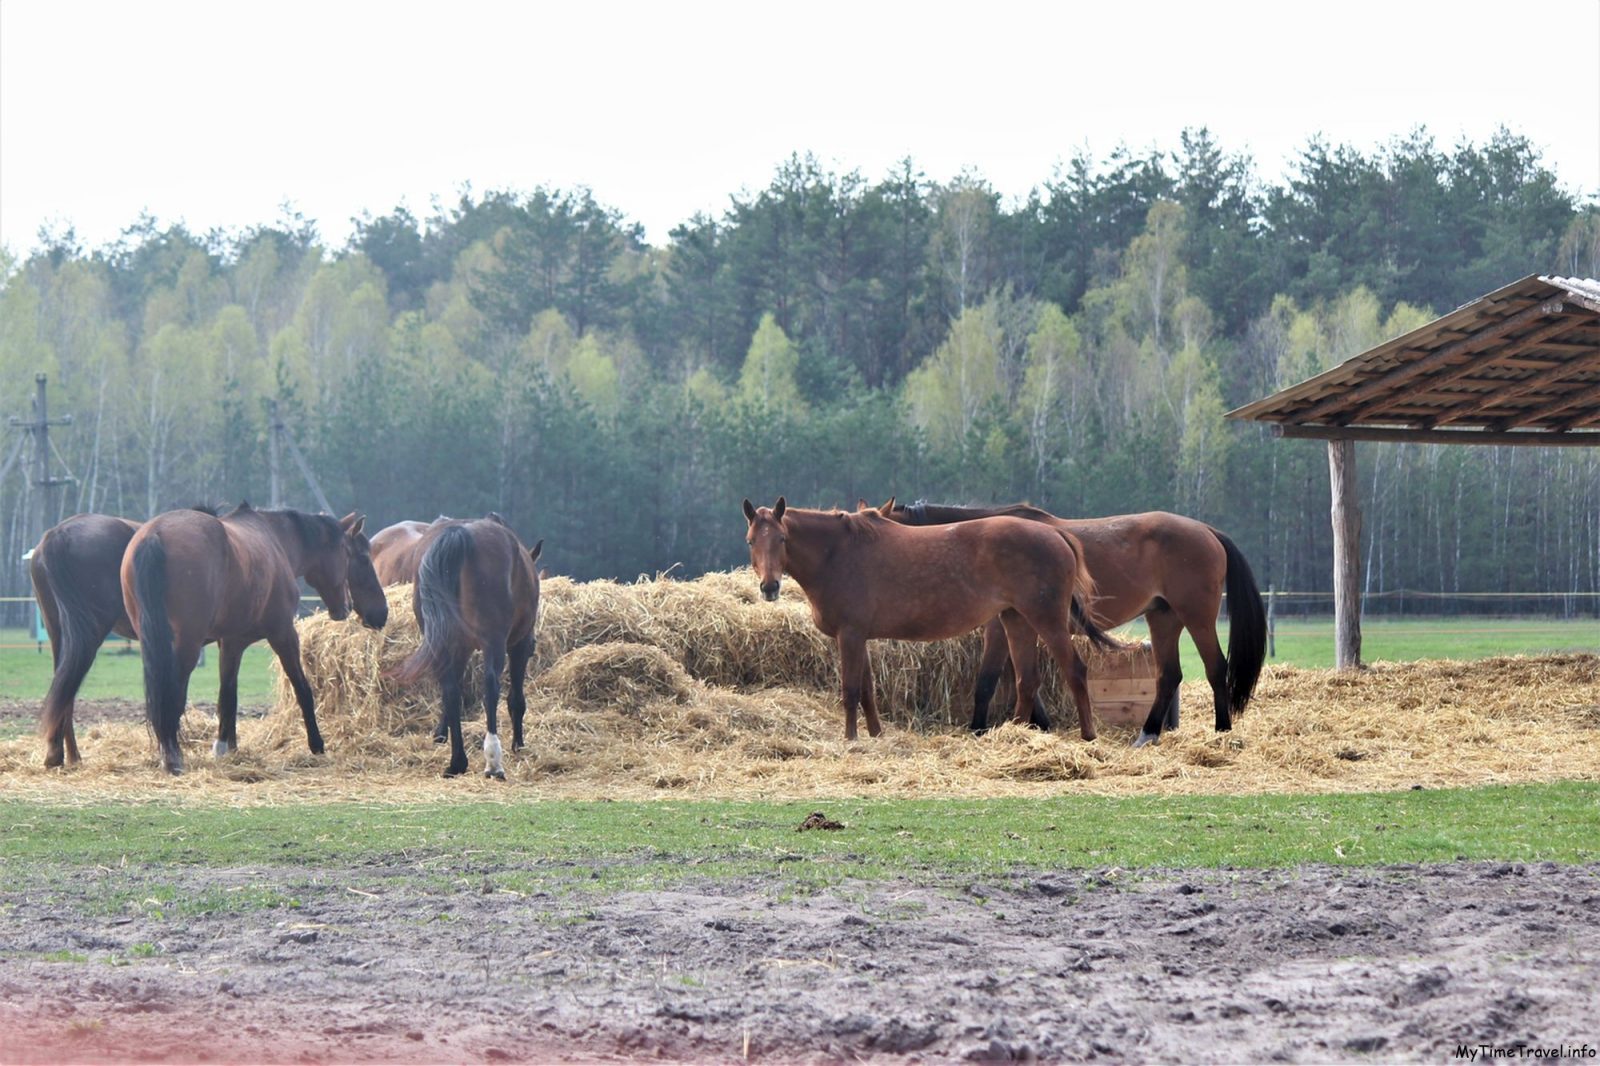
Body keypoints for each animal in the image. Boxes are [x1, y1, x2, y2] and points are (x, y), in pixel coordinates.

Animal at [121, 502, 390, 768]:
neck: (277, 540)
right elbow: (302, 689)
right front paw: (317, 745)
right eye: (362, 558)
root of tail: (155, 534)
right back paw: (172, 757)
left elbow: (228, 695)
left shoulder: (231, 643)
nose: (381, 613)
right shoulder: (283, 634)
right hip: (187, 645)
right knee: (173, 694)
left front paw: (226, 747)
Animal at [388, 515, 540, 771]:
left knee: (449, 689)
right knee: (490, 686)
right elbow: (516, 699)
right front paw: (518, 744)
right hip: (493, 641)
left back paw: (457, 761)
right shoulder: (519, 645)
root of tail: (460, 534)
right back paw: (493, 760)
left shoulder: (460, 648)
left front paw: (441, 734)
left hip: (445, 641)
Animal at [742, 496, 1120, 739]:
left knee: (1074, 670)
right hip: (1016, 620)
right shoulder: (858, 637)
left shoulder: (849, 635)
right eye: (750, 541)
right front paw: (875, 735)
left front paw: (850, 740)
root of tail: (1056, 533)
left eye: (782, 538)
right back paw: (1017, 733)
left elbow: (850, 690)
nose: (770, 586)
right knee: (1027, 680)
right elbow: (867, 689)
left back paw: (1088, 736)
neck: (838, 552)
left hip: (1047, 620)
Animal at [876, 499, 1260, 742]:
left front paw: (983, 729)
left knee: (1215, 667)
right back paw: (1148, 733)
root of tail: (1207, 531)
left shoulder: (1002, 625)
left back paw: (1222, 731)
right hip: (1163, 617)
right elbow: (1005, 679)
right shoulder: (1011, 625)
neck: (978, 543)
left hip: (1197, 616)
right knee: (1169, 676)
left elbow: (990, 680)